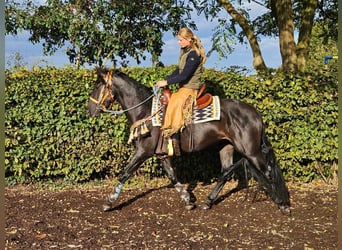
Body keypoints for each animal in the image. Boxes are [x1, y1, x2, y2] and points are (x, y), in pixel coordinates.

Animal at [89, 67, 292, 214]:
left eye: (97, 87)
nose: (89, 110)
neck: (146, 111)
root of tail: (255, 113)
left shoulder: (143, 152)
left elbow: (125, 173)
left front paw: (108, 202)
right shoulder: (162, 155)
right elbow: (172, 176)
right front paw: (187, 200)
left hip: (251, 151)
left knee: (267, 171)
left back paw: (283, 204)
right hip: (226, 146)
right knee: (226, 172)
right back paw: (208, 202)